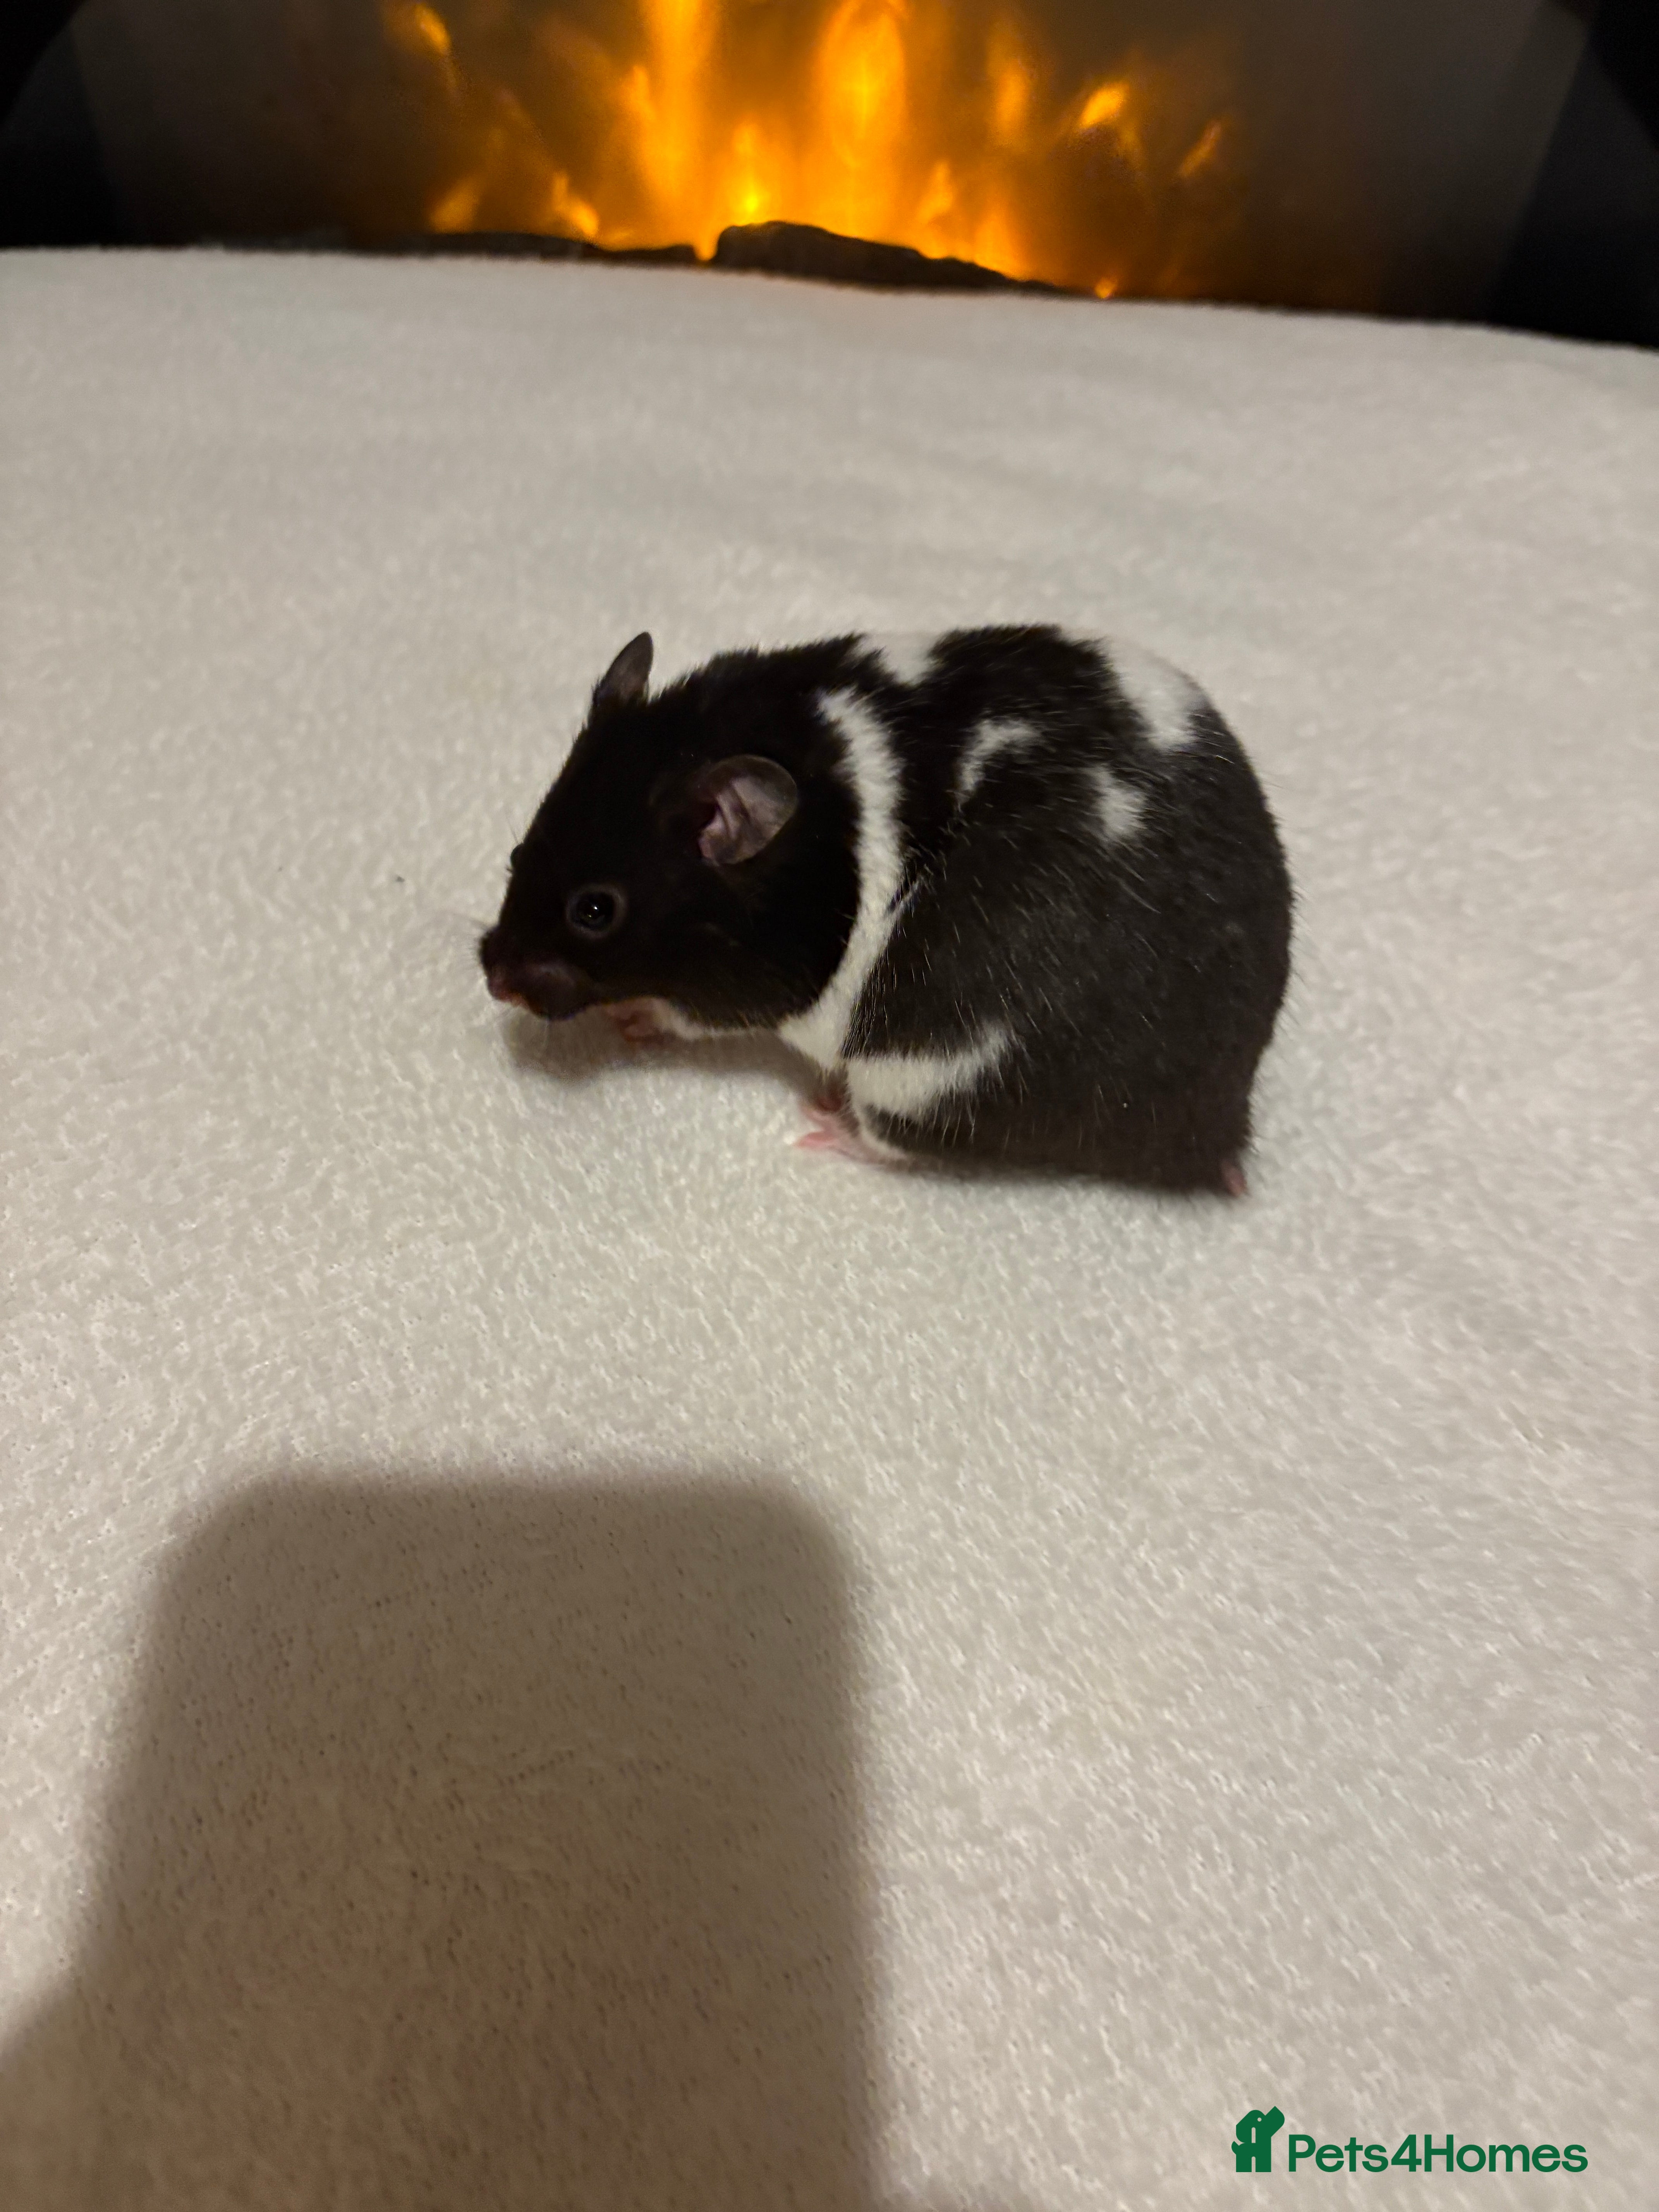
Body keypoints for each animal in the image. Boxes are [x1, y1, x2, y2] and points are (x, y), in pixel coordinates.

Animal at [480, 625, 1292, 1192]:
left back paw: (823, 1124)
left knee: (899, 1144)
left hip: (918, 1076)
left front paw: (631, 1016)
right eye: (517, 855)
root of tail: (1216, 1128)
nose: (495, 979)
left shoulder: (760, 987)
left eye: (594, 910)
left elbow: (684, 1013)